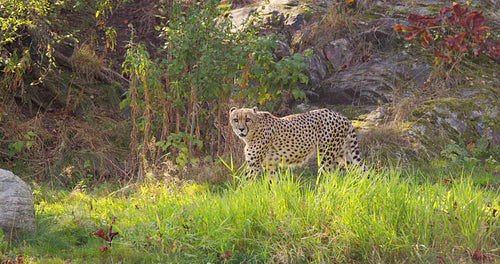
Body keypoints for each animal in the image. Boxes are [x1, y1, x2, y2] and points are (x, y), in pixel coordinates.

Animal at [229, 106, 362, 176]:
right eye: (236, 120)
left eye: (247, 119)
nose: (241, 129)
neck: (255, 129)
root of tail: (341, 115)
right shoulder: (269, 164)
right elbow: (274, 184)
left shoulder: (254, 165)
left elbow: (243, 185)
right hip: (343, 154)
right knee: (359, 170)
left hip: (326, 156)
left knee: (330, 178)